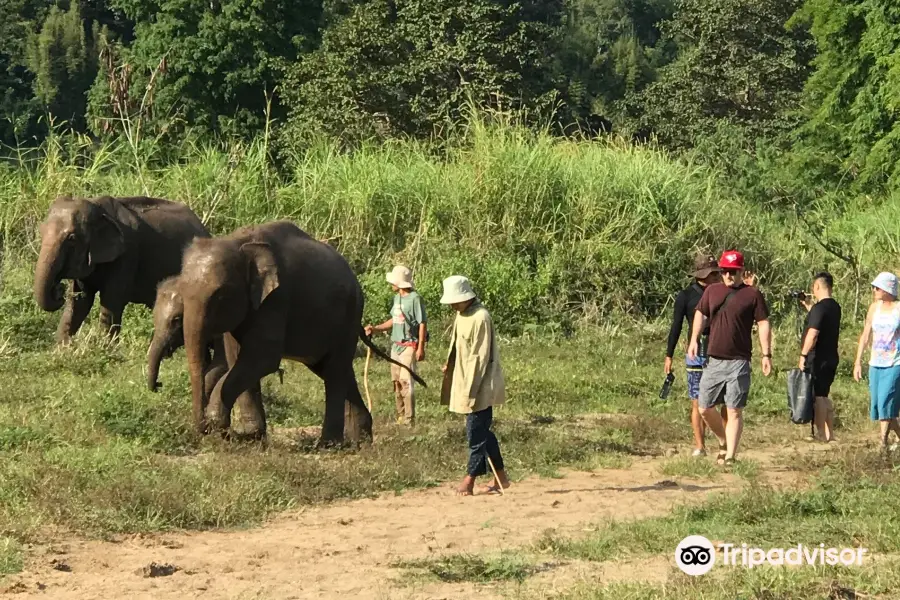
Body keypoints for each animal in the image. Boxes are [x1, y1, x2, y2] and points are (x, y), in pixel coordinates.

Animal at [33, 196, 209, 342]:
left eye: (72, 238)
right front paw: (61, 350)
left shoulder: (127, 254)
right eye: (41, 232)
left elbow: (111, 302)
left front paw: (106, 348)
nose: (59, 289)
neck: (97, 207)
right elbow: (80, 302)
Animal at [178, 220, 428, 446]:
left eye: (220, 295)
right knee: (333, 369)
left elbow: (263, 358)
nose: (201, 431)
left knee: (334, 371)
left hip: (347, 314)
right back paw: (360, 440)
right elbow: (237, 356)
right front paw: (251, 436)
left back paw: (328, 444)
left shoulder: (277, 298)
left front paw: (224, 426)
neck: (237, 242)